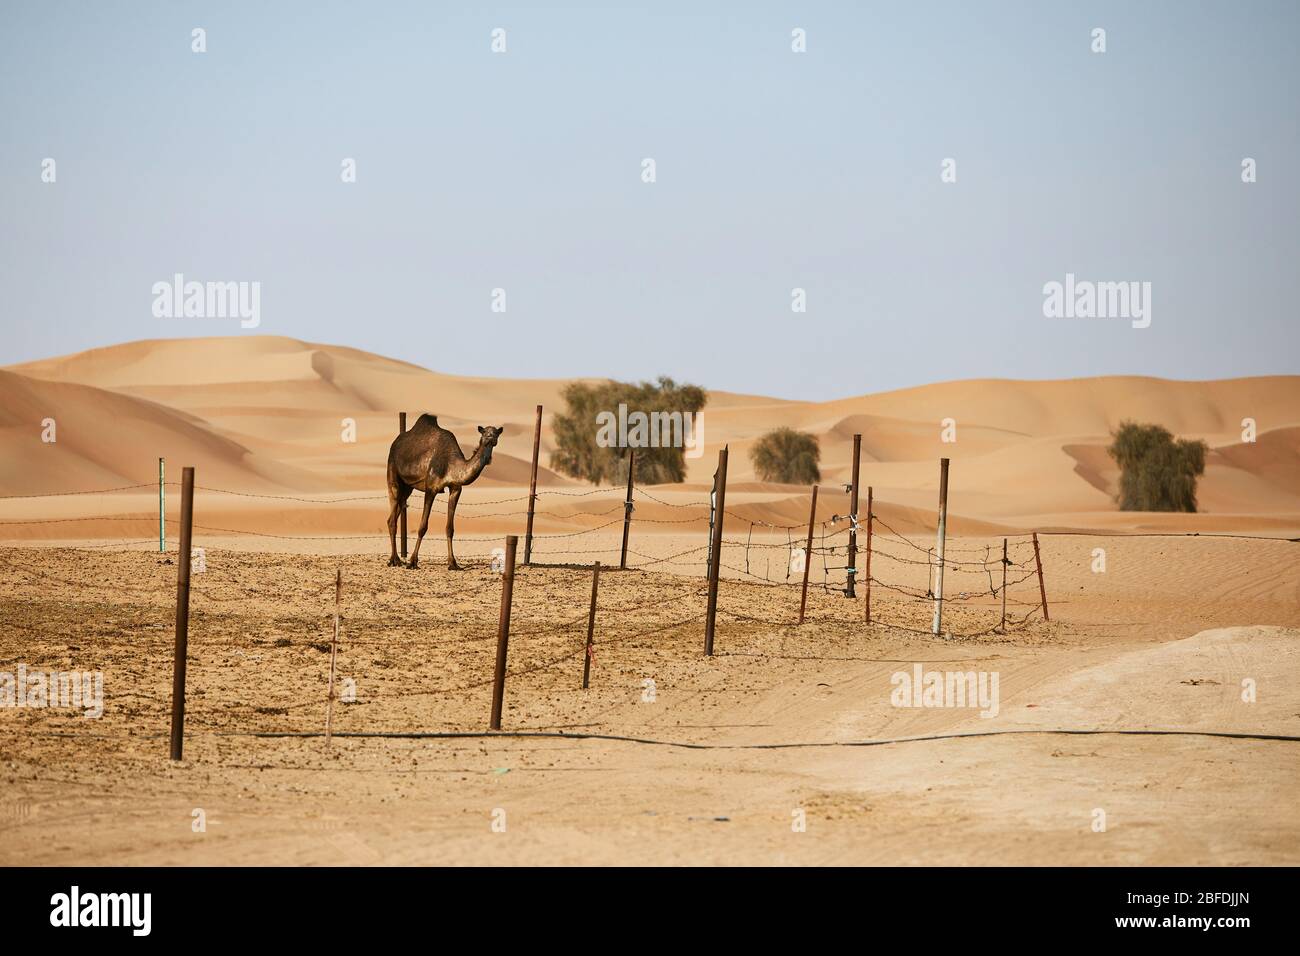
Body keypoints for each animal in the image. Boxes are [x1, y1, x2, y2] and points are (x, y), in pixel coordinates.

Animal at [379, 416, 501, 567]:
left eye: (497, 433)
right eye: (484, 432)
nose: (491, 438)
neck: (451, 465)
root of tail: (395, 442)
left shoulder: (456, 489)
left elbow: (450, 529)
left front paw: (453, 563)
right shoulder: (431, 488)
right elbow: (422, 527)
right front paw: (413, 561)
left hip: (408, 487)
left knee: (396, 512)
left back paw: (394, 559)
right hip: (392, 471)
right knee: (392, 514)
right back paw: (395, 559)